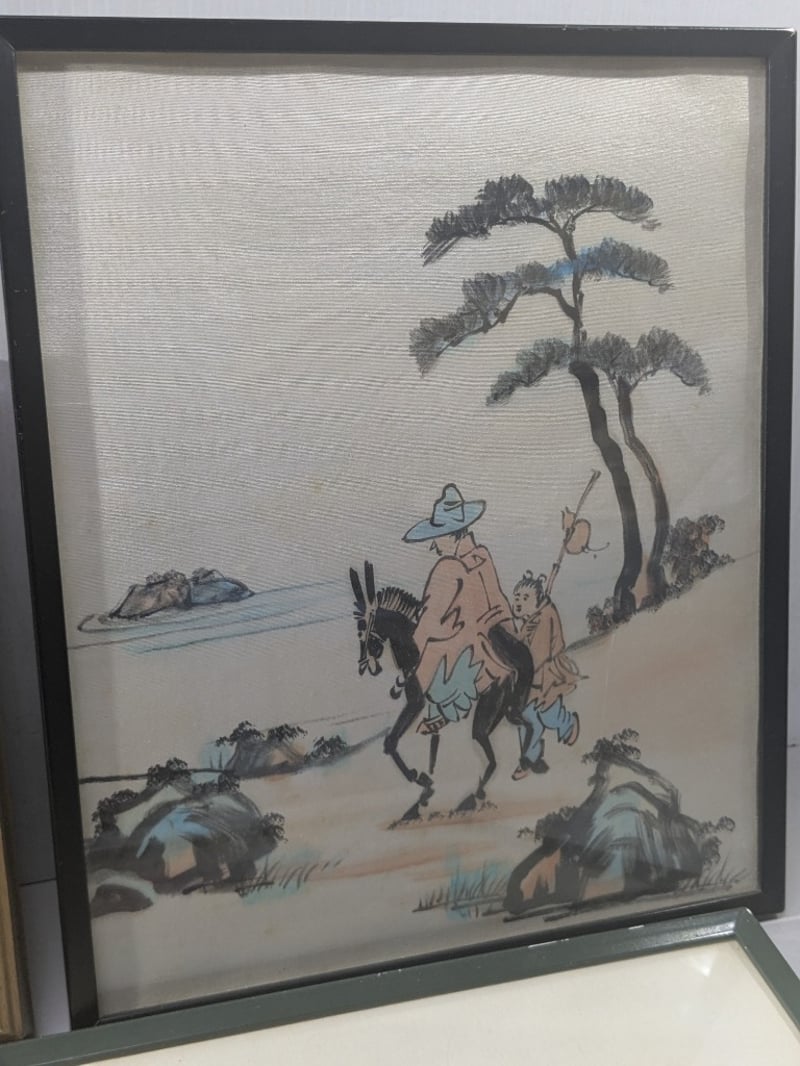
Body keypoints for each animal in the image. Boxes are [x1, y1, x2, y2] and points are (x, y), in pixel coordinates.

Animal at [350, 561, 533, 822]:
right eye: (358, 631)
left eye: (365, 629)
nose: (364, 666)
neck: (414, 647)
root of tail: (509, 668)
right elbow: (422, 748)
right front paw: (424, 790)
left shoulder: (415, 702)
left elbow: (391, 742)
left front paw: (421, 780)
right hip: (503, 709)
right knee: (521, 727)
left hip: (490, 704)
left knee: (492, 754)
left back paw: (476, 795)